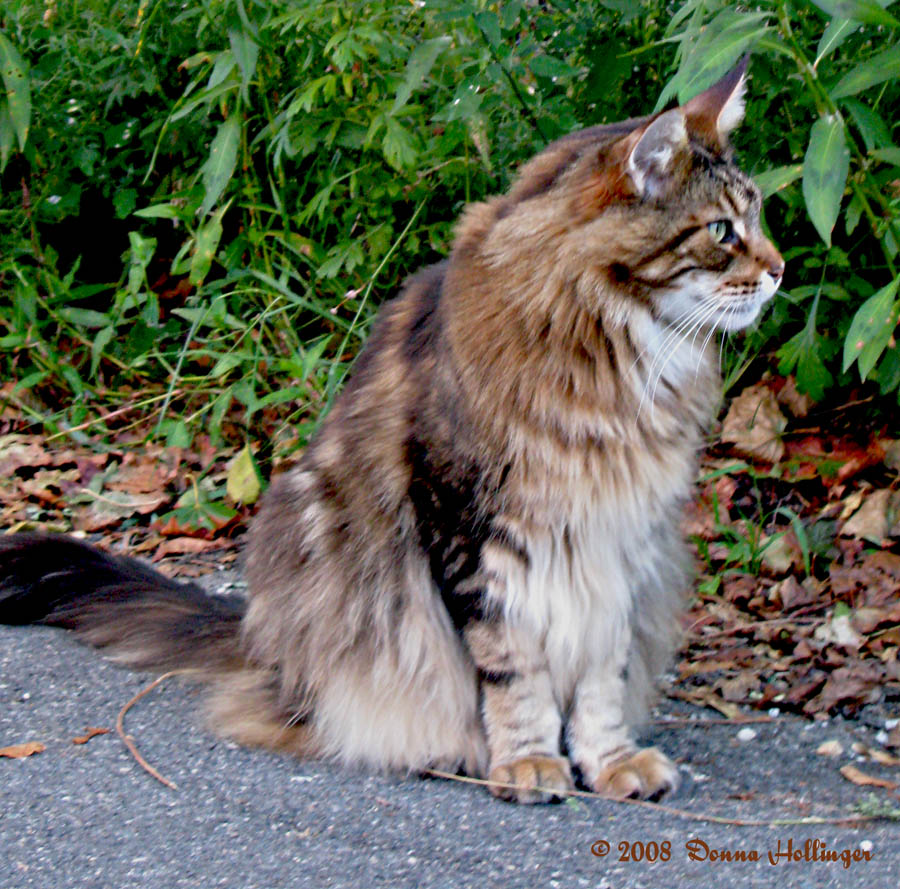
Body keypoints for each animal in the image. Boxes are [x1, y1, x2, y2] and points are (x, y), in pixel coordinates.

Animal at [0, 59, 780, 800]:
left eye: (762, 216)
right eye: (722, 231)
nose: (776, 270)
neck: (615, 353)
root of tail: (263, 645)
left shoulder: (619, 539)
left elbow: (601, 677)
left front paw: (610, 761)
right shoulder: (473, 526)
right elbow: (513, 670)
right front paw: (527, 760)